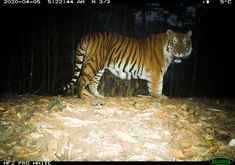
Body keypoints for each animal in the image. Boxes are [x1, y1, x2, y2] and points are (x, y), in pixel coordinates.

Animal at [63, 29, 193, 98]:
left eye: (185, 43)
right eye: (174, 42)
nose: (179, 52)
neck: (168, 56)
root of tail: (87, 35)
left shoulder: (159, 74)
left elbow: (159, 87)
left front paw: (161, 96)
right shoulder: (155, 73)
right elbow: (155, 89)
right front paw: (157, 97)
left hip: (99, 67)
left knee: (93, 83)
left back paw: (98, 96)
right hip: (94, 63)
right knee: (82, 79)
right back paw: (82, 98)